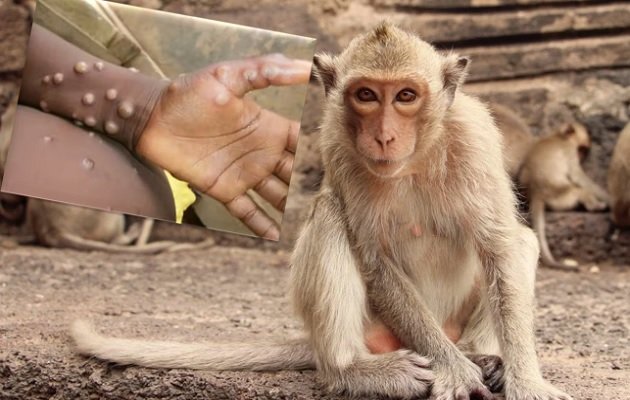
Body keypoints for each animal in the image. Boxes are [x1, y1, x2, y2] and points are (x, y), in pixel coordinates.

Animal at [69, 23, 572, 400]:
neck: (414, 161)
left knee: (520, 241)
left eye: (406, 96)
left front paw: (525, 381)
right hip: (374, 331)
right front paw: (455, 370)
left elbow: (499, 247)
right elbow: (375, 259)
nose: (384, 136)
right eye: (366, 95)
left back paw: (481, 355)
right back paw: (355, 371)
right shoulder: (337, 144)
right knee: (330, 214)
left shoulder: (475, 140)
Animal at [520, 123, 612, 270]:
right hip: (561, 197)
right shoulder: (570, 152)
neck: (559, 136)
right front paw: (608, 198)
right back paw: (596, 206)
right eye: (581, 149)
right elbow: (577, 176)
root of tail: (537, 192)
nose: (581, 157)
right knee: (578, 191)